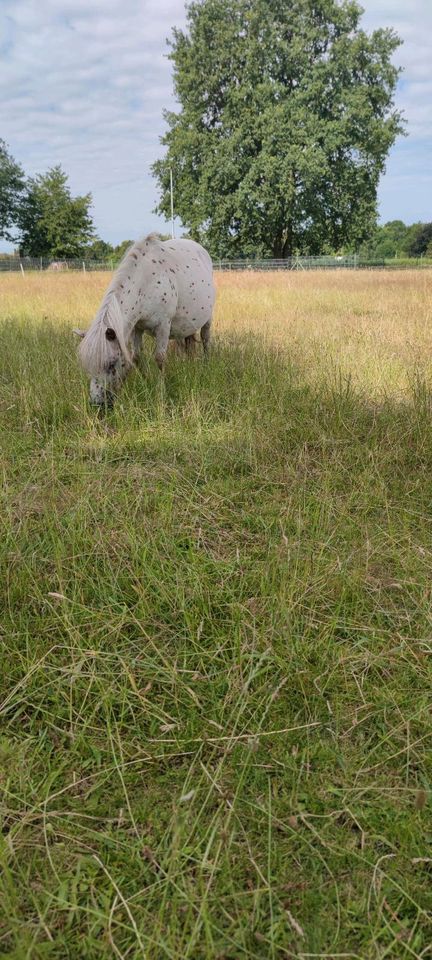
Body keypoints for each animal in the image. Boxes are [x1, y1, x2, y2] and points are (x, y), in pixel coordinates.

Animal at [76, 240, 216, 408]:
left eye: (111, 364)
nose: (97, 403)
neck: (146, 282)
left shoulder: (163, 326)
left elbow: (160, 358)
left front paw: (161, 393)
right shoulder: (136, 328)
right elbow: (136, 357)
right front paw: (147, 383)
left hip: (207, 319)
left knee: (206, 340)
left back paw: (206, 366)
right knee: (184, 344)